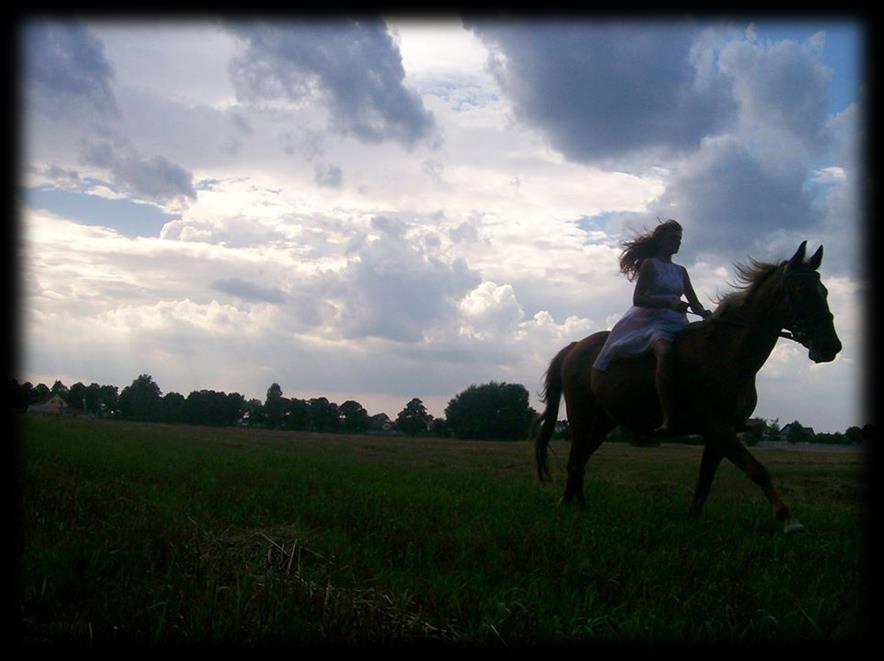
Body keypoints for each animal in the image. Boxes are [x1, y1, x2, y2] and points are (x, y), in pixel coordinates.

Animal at [532, 240, 844, 532]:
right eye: (802, 291)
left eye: (825, 292)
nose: (831, 346)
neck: (726, 353)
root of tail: (575, 347)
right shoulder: (719, 429)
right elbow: (758, 470)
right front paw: (789, 520)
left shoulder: (718, 435)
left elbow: (705, 482)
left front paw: (692, 520)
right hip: (581, 417)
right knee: (575, 459)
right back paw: (568, 505)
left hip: (604, 421)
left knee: (582, 459)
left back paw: (578, 504)